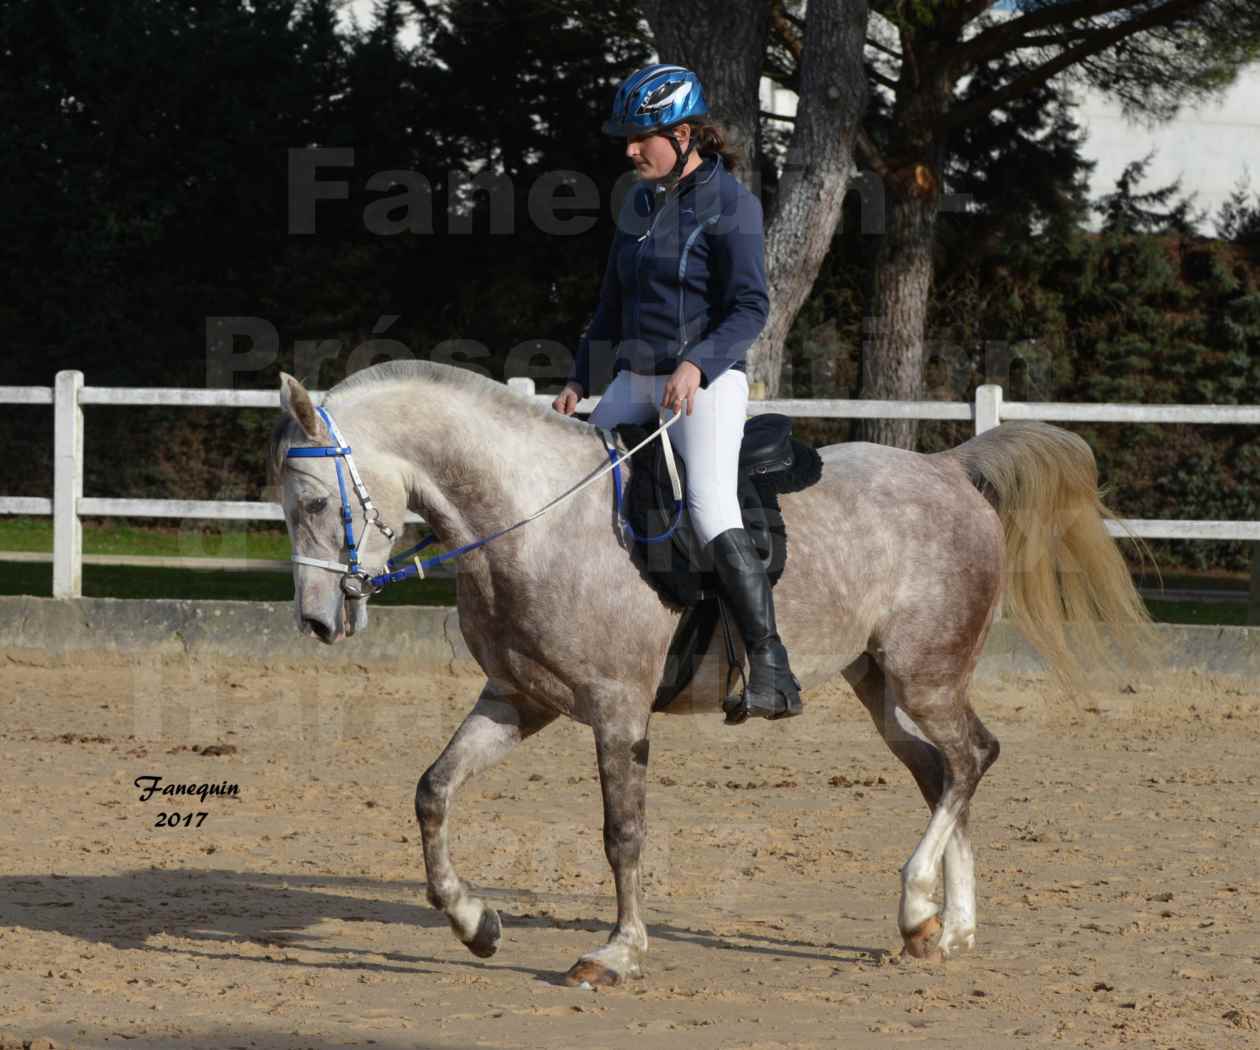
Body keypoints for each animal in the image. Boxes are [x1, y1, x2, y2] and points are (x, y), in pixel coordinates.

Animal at [270, 360, 1154, 983]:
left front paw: (618, 952)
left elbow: (622, 833)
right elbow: (433, 789)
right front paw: (473, 923)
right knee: (943, 771)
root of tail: (946, 470)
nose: (316, 621)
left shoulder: (617, 710)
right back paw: (943, 928)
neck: (534, 517)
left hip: (924, 676)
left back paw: (915, 903)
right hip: (878, 685)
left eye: (314, 501)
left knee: (972, 757)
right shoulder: (519, 699)